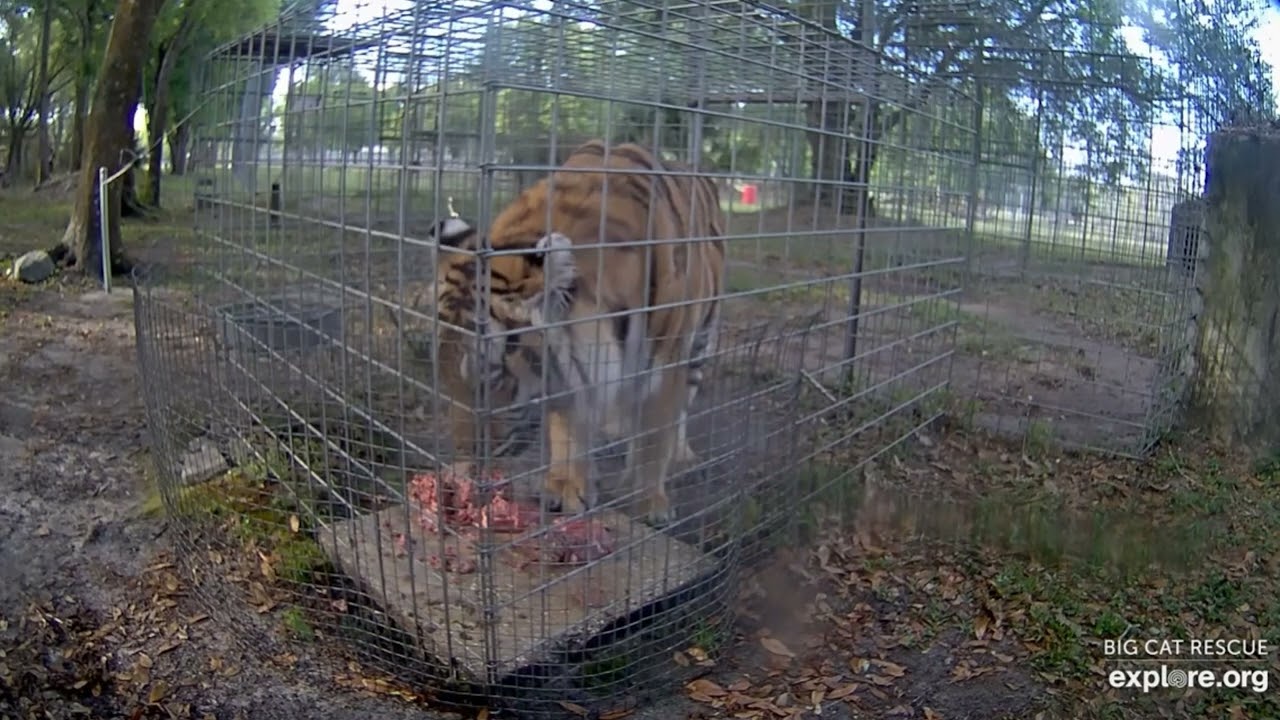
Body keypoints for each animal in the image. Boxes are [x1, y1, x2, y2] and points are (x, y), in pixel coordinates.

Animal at [428, 139, 726, 527]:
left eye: (489, 378)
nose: (464, 464)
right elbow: (569, 427)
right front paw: (567, 486)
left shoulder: (667, 366)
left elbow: (654, 438)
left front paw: (648, 504)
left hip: (700, 342)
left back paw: (680, 455)